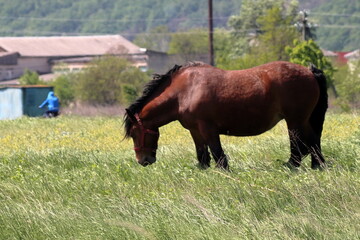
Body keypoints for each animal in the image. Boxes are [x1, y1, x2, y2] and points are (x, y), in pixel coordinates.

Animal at [125, 61, 328, 170]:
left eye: (134, 133)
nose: (143, 161)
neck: (184, 91)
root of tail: (309, 71)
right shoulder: (195, 131)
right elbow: (202, 155)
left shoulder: (208, 129)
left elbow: (218, 154)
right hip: (305, 120)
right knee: (313, 143)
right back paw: (317, 166)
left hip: (294, 121)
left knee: (299, 147)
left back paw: (292, 166)